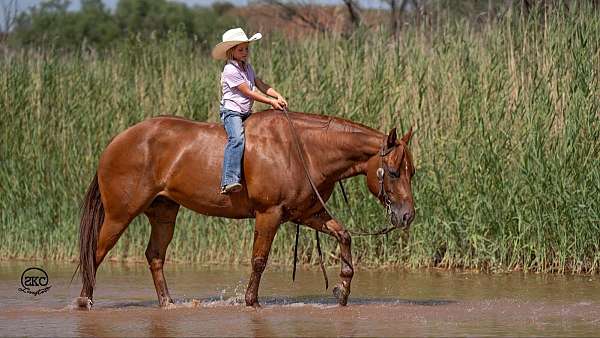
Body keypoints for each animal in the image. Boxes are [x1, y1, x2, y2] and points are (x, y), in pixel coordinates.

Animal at [75, 110, 414, 308]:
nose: (407, 216)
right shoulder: (269, 214)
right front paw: (251, 302)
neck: (303, 150)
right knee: (96, 253)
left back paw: (168, 303)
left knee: (155, 256)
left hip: (164, 213)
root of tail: (116, 142)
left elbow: (344, 236)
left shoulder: (307, 214)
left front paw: (342, 290)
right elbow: (259, 261)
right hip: (120, 215)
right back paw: (84, 300)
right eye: (393, 172)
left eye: (412, 171)